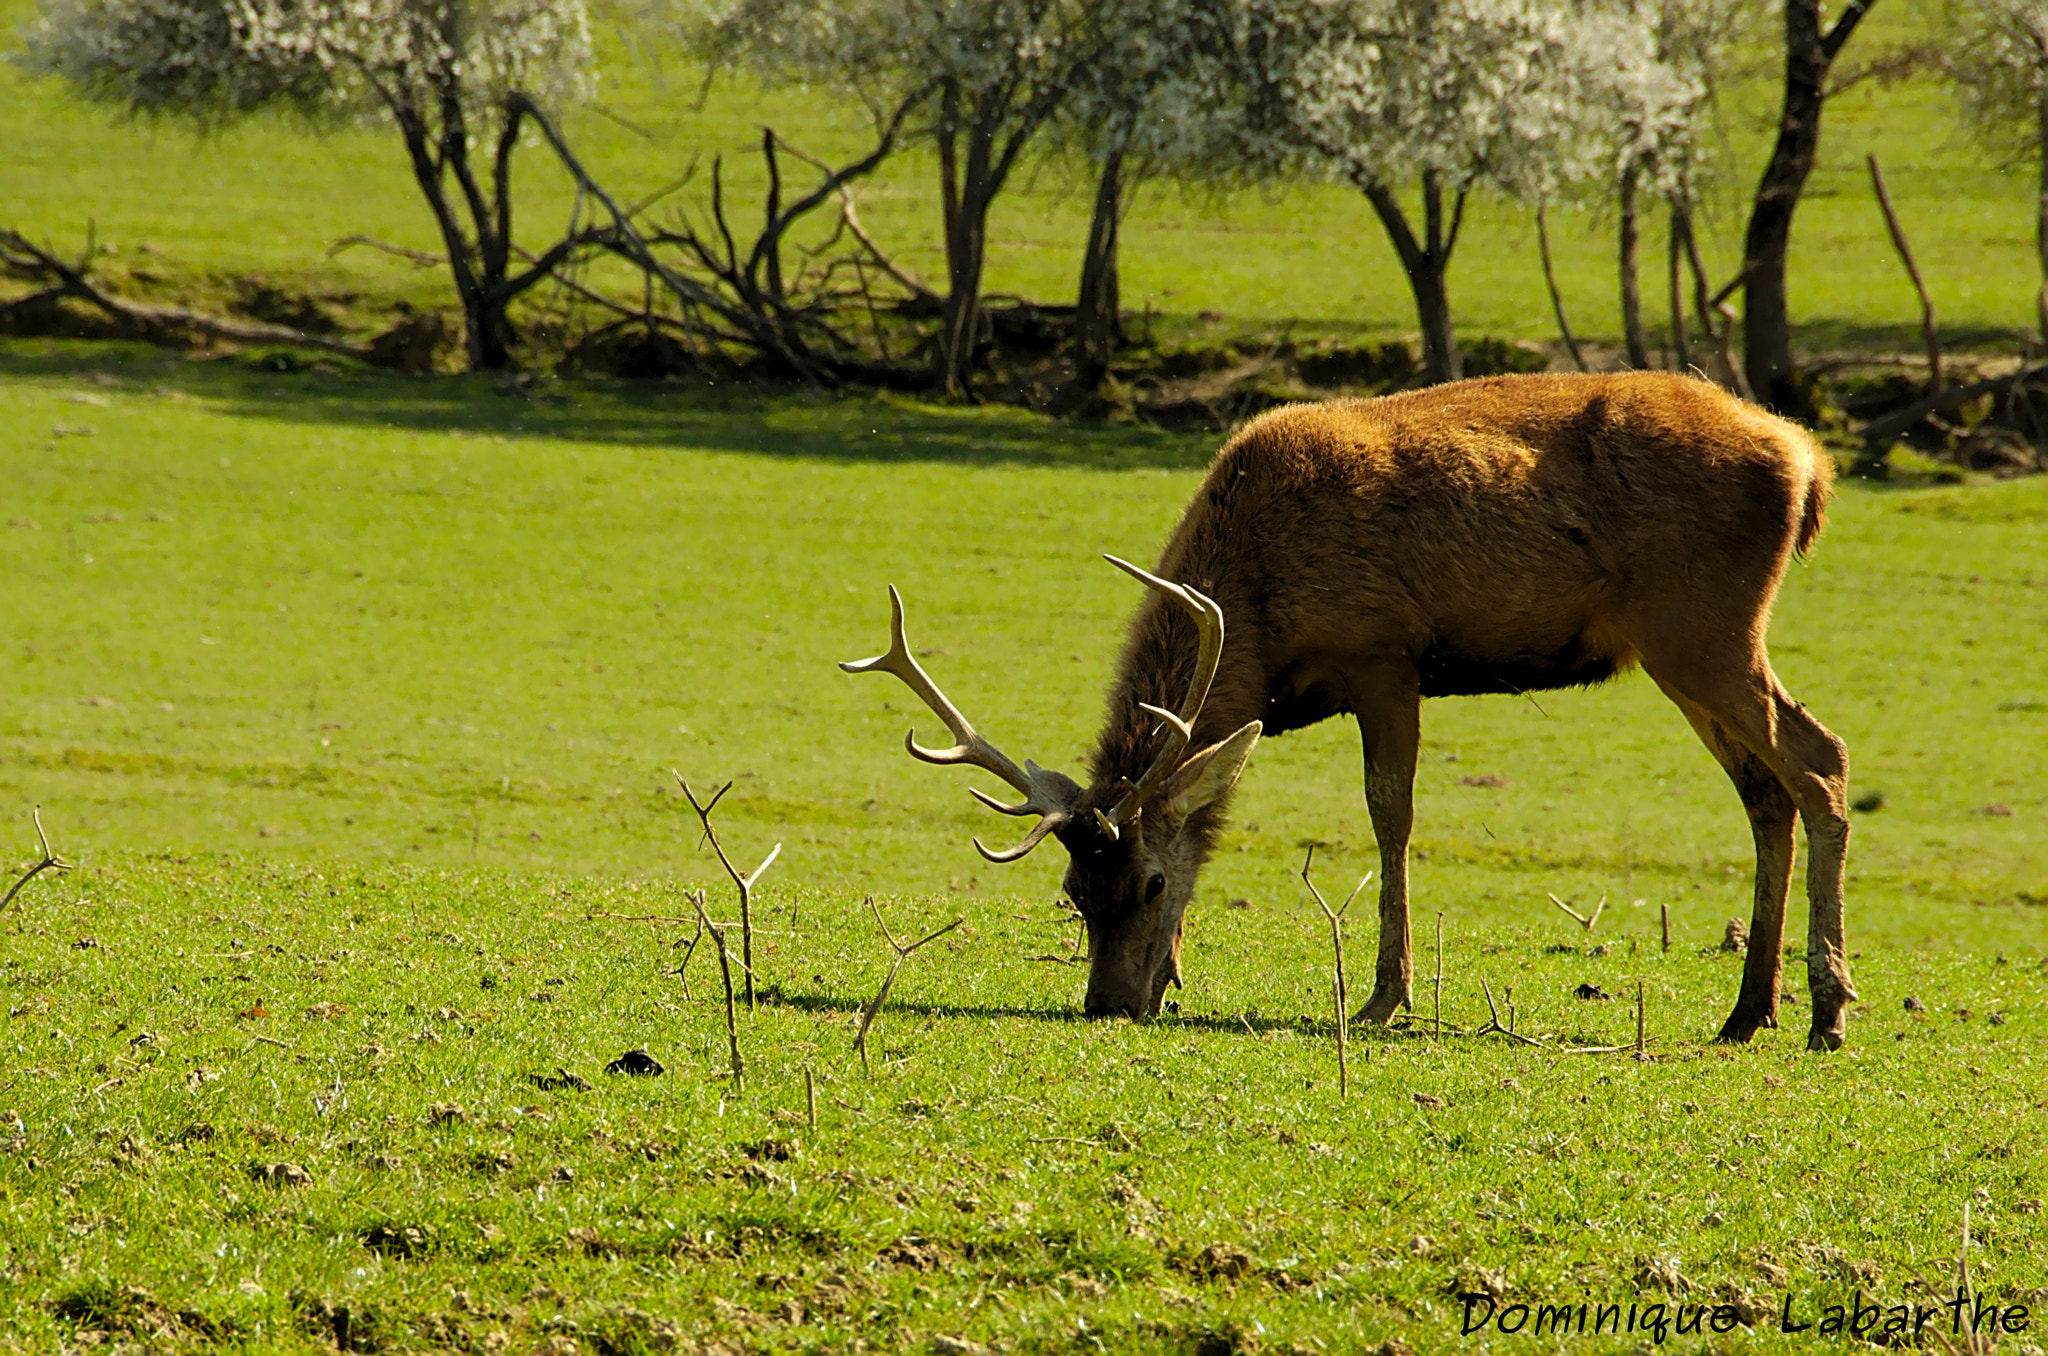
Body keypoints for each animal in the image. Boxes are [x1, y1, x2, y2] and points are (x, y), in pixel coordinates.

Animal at [843, 372, 1859, 1048]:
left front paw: (1382, 997)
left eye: (1151, 885)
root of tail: (1809, 463)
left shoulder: (1384, 653)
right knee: (1766, 792)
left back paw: (1826, 1008)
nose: (1108, 1003)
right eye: (1073, 894)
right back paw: (1748, 1011)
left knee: (1820, 760)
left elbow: (1389, 815)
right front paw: (1180, 974)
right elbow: (1224, 811)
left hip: (1705, 621)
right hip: (1678, 645)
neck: (1256, 618)